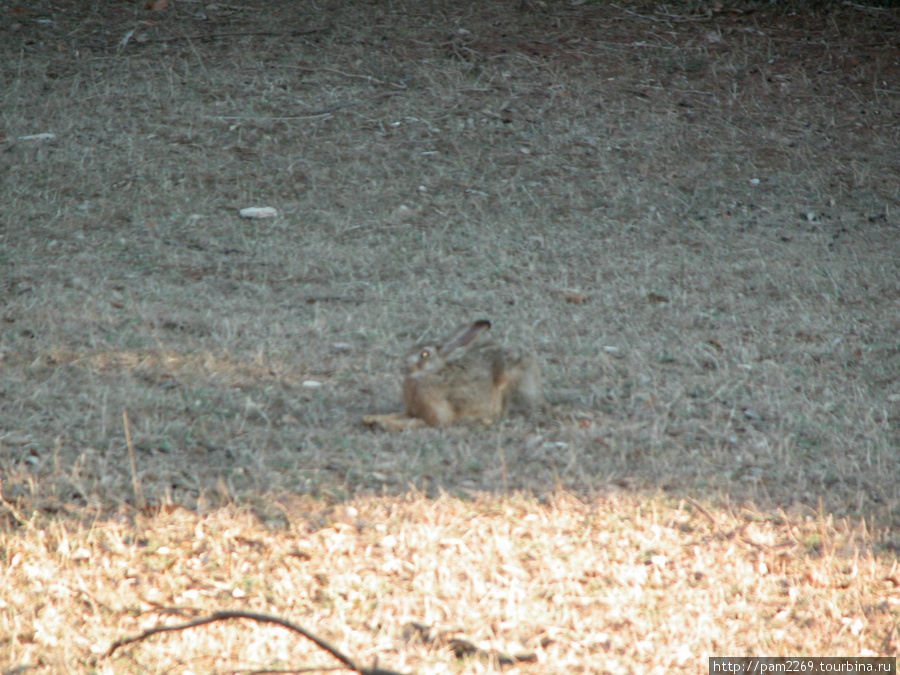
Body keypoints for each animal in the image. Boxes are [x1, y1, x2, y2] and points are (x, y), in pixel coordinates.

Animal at [364, 320, 544, 430]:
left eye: (424, 354)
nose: (404, 363)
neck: (429, 374)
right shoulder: (411, 410)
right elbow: (396, 415)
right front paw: (371, 418)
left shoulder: (435, 418)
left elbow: (415, 422)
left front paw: (382, 424)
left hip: (506, 380)